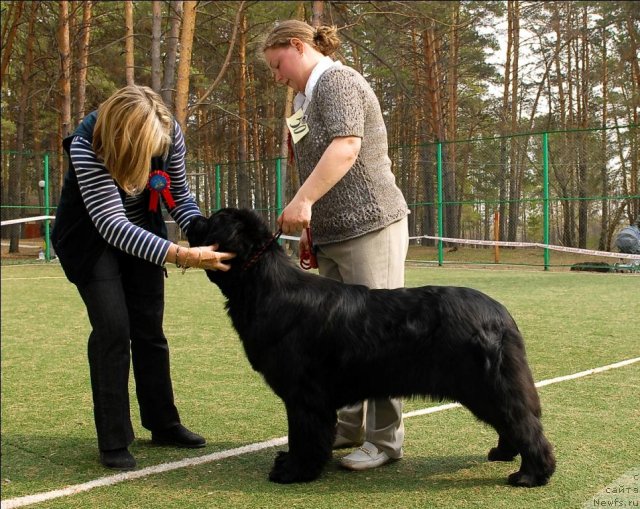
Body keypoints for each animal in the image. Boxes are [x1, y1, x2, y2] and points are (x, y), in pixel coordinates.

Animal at [189, 208, 556, 486]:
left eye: (213, 220)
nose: (192, 219)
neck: (263, 285)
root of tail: (501, 314)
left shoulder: (303, 394)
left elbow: (303, 434)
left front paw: (294, 471)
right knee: (514, 421)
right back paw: (504, 454)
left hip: (485, 385)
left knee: (524, 424)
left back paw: (531, 475)